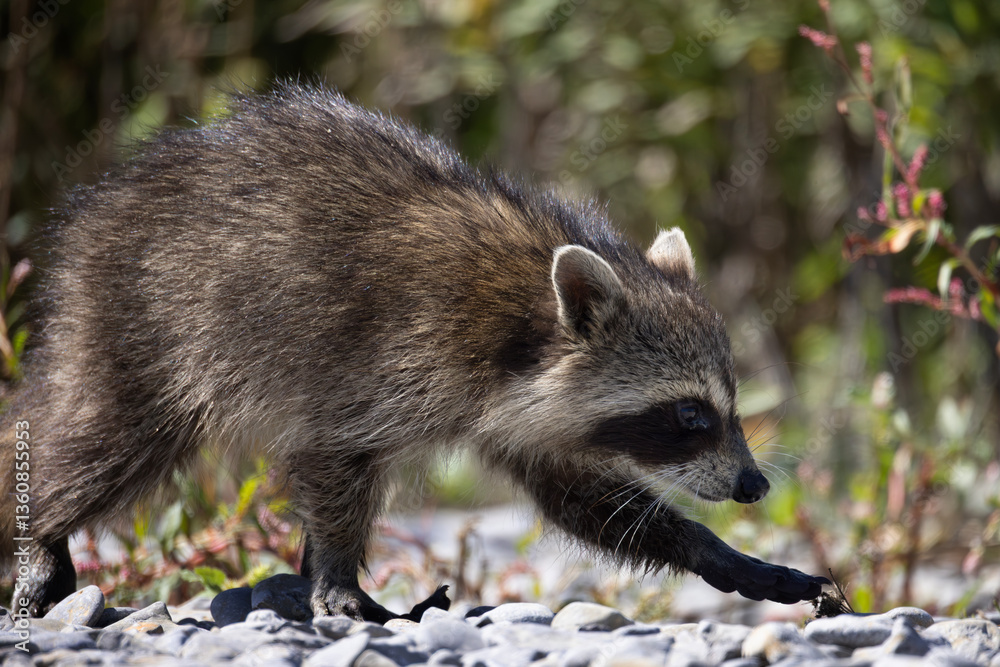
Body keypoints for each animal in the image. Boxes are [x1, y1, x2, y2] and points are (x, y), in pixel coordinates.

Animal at [0, 84, 827, 622]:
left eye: (730, 407)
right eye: (690, 414)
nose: (755, 485)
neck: (531, 321)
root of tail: (97, 213)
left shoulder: (525, 409)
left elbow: (589, 502)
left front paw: (719, 552)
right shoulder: (372, 356)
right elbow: (332, 464)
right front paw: (336, 569)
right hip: (143, 322)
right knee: (107, 441)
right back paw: (43, 534)